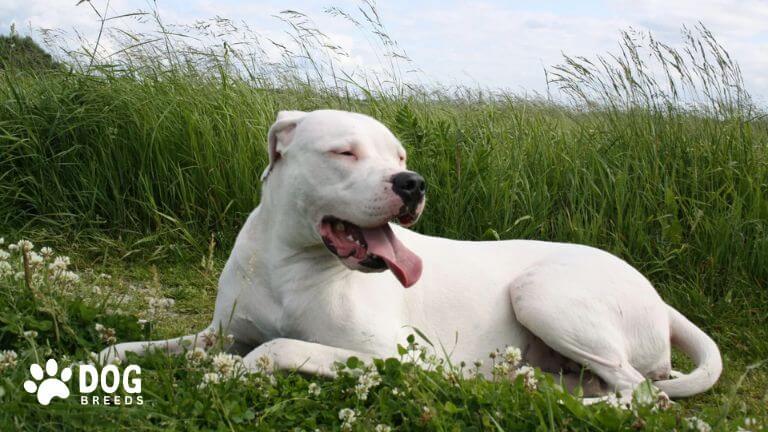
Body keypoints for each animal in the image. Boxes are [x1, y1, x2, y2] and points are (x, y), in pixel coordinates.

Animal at [100, 109, 720, 398]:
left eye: (399, 154)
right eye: (345, 152)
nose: (412, 182)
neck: (289, 263)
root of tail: (655, 295)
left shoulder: (398, 356)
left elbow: (274, 347)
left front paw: (239, 371)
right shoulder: (220, 332)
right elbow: (146, 346)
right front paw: (109, 358)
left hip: (540, 293)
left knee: (643, 395)